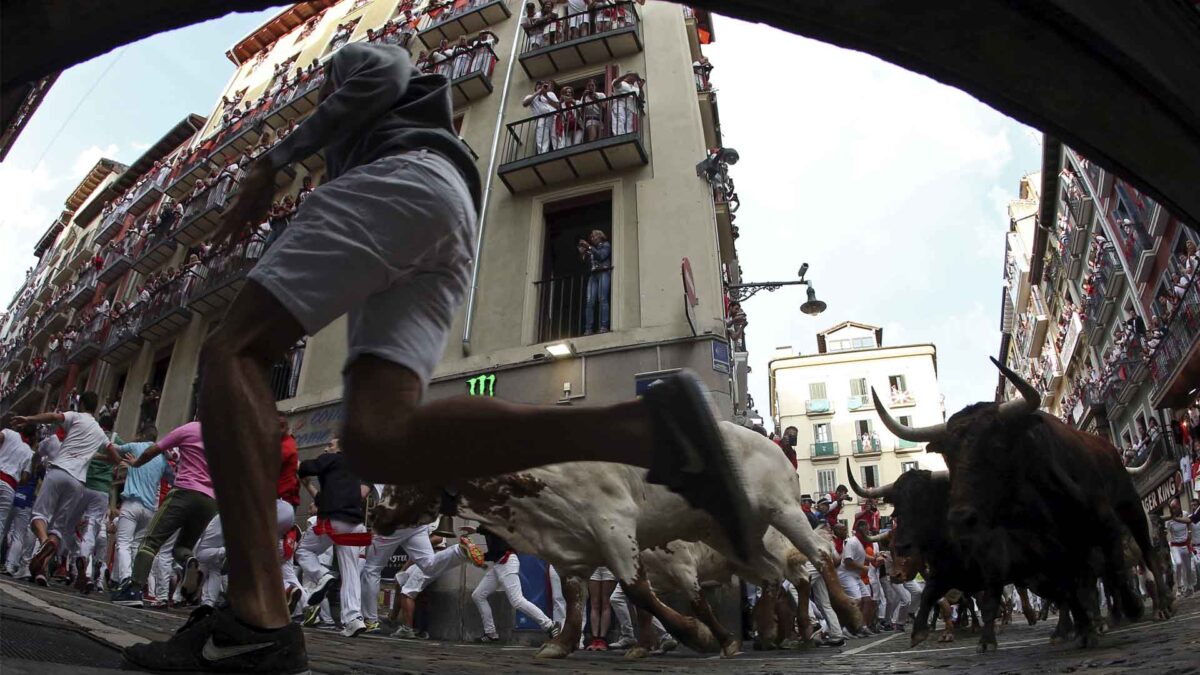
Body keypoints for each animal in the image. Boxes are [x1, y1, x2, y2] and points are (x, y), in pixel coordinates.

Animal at [374, 420, 854, 658]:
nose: (375, 514)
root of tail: (773, 444)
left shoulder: (617, 528)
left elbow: (642, 594)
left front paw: (699, 636)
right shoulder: (572, 552)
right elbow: (583, 600)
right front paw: (562, 644)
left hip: (785, 510)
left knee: (819, 558)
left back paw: (845, 615)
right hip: (738, 540)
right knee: (776, 578)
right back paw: (778, 632)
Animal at [864, 355, 1171, 648]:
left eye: (996, 446)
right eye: (948, 456)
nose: (960, 519)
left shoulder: (1100, 525)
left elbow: (1113, 569)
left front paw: (1128, 607)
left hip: (1131, 509)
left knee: (1146, 556)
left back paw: (1157, 606)